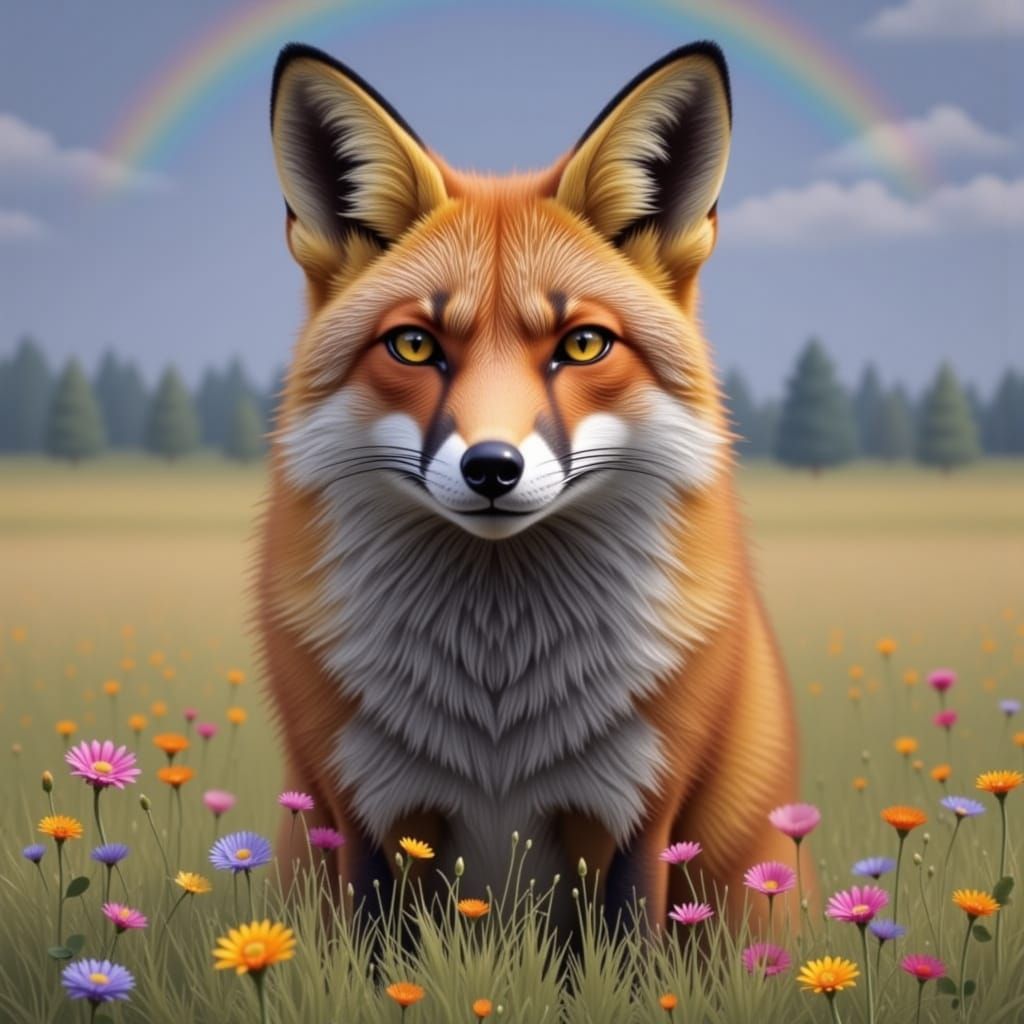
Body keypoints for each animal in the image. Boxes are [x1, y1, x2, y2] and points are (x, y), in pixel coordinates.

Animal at [257, 39, 802, 934]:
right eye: (414, 345)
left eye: (582, 345)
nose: (491, 468)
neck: (497, 708)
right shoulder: (361, 813)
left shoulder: (642, 815)